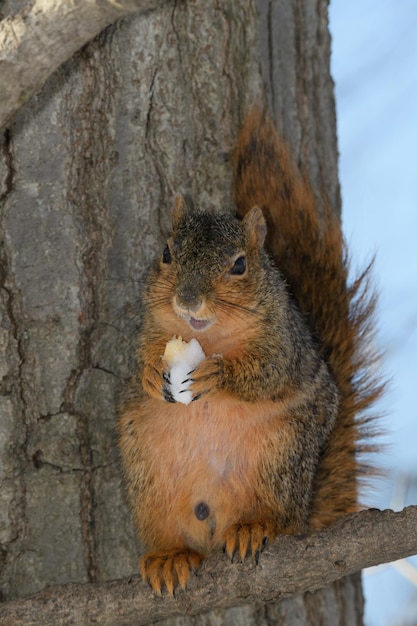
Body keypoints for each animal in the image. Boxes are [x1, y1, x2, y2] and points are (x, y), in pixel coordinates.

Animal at [117, 107, 380, 596]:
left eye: (239, 264)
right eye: (166, 252)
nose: (187, 299)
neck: (209, 337)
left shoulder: (285, 342)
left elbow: (269, 372)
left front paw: (218, 375)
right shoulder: (151, 328)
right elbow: (142, 353)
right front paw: (147, 373)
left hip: (281, 454)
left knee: (274, 515)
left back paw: (255, 527)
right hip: (146, 470)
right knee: (170, 532)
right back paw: (168, 556)